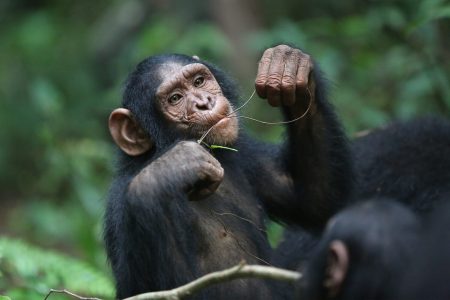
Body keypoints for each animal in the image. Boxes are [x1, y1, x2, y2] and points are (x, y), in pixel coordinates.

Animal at [103, 45, 352, 300]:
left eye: (199, 81)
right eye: (175, 99)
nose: (204, 102)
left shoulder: (245, 152)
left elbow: (315, 202)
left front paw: (289, 66)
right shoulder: (120, 209)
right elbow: (154, 290)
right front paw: (169, 170)